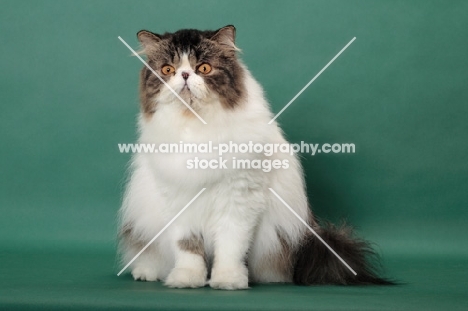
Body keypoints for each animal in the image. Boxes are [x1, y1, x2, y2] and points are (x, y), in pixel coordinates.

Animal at [118, 25, 392, 292]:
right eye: (168, 70)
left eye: (203, 68)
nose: (184, 75)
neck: (197, 126)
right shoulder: (178, 201)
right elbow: (187, 249)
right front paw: (186, 279)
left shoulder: (239, 199)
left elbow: (230, 247)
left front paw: (227, 280)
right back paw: (147, 272)